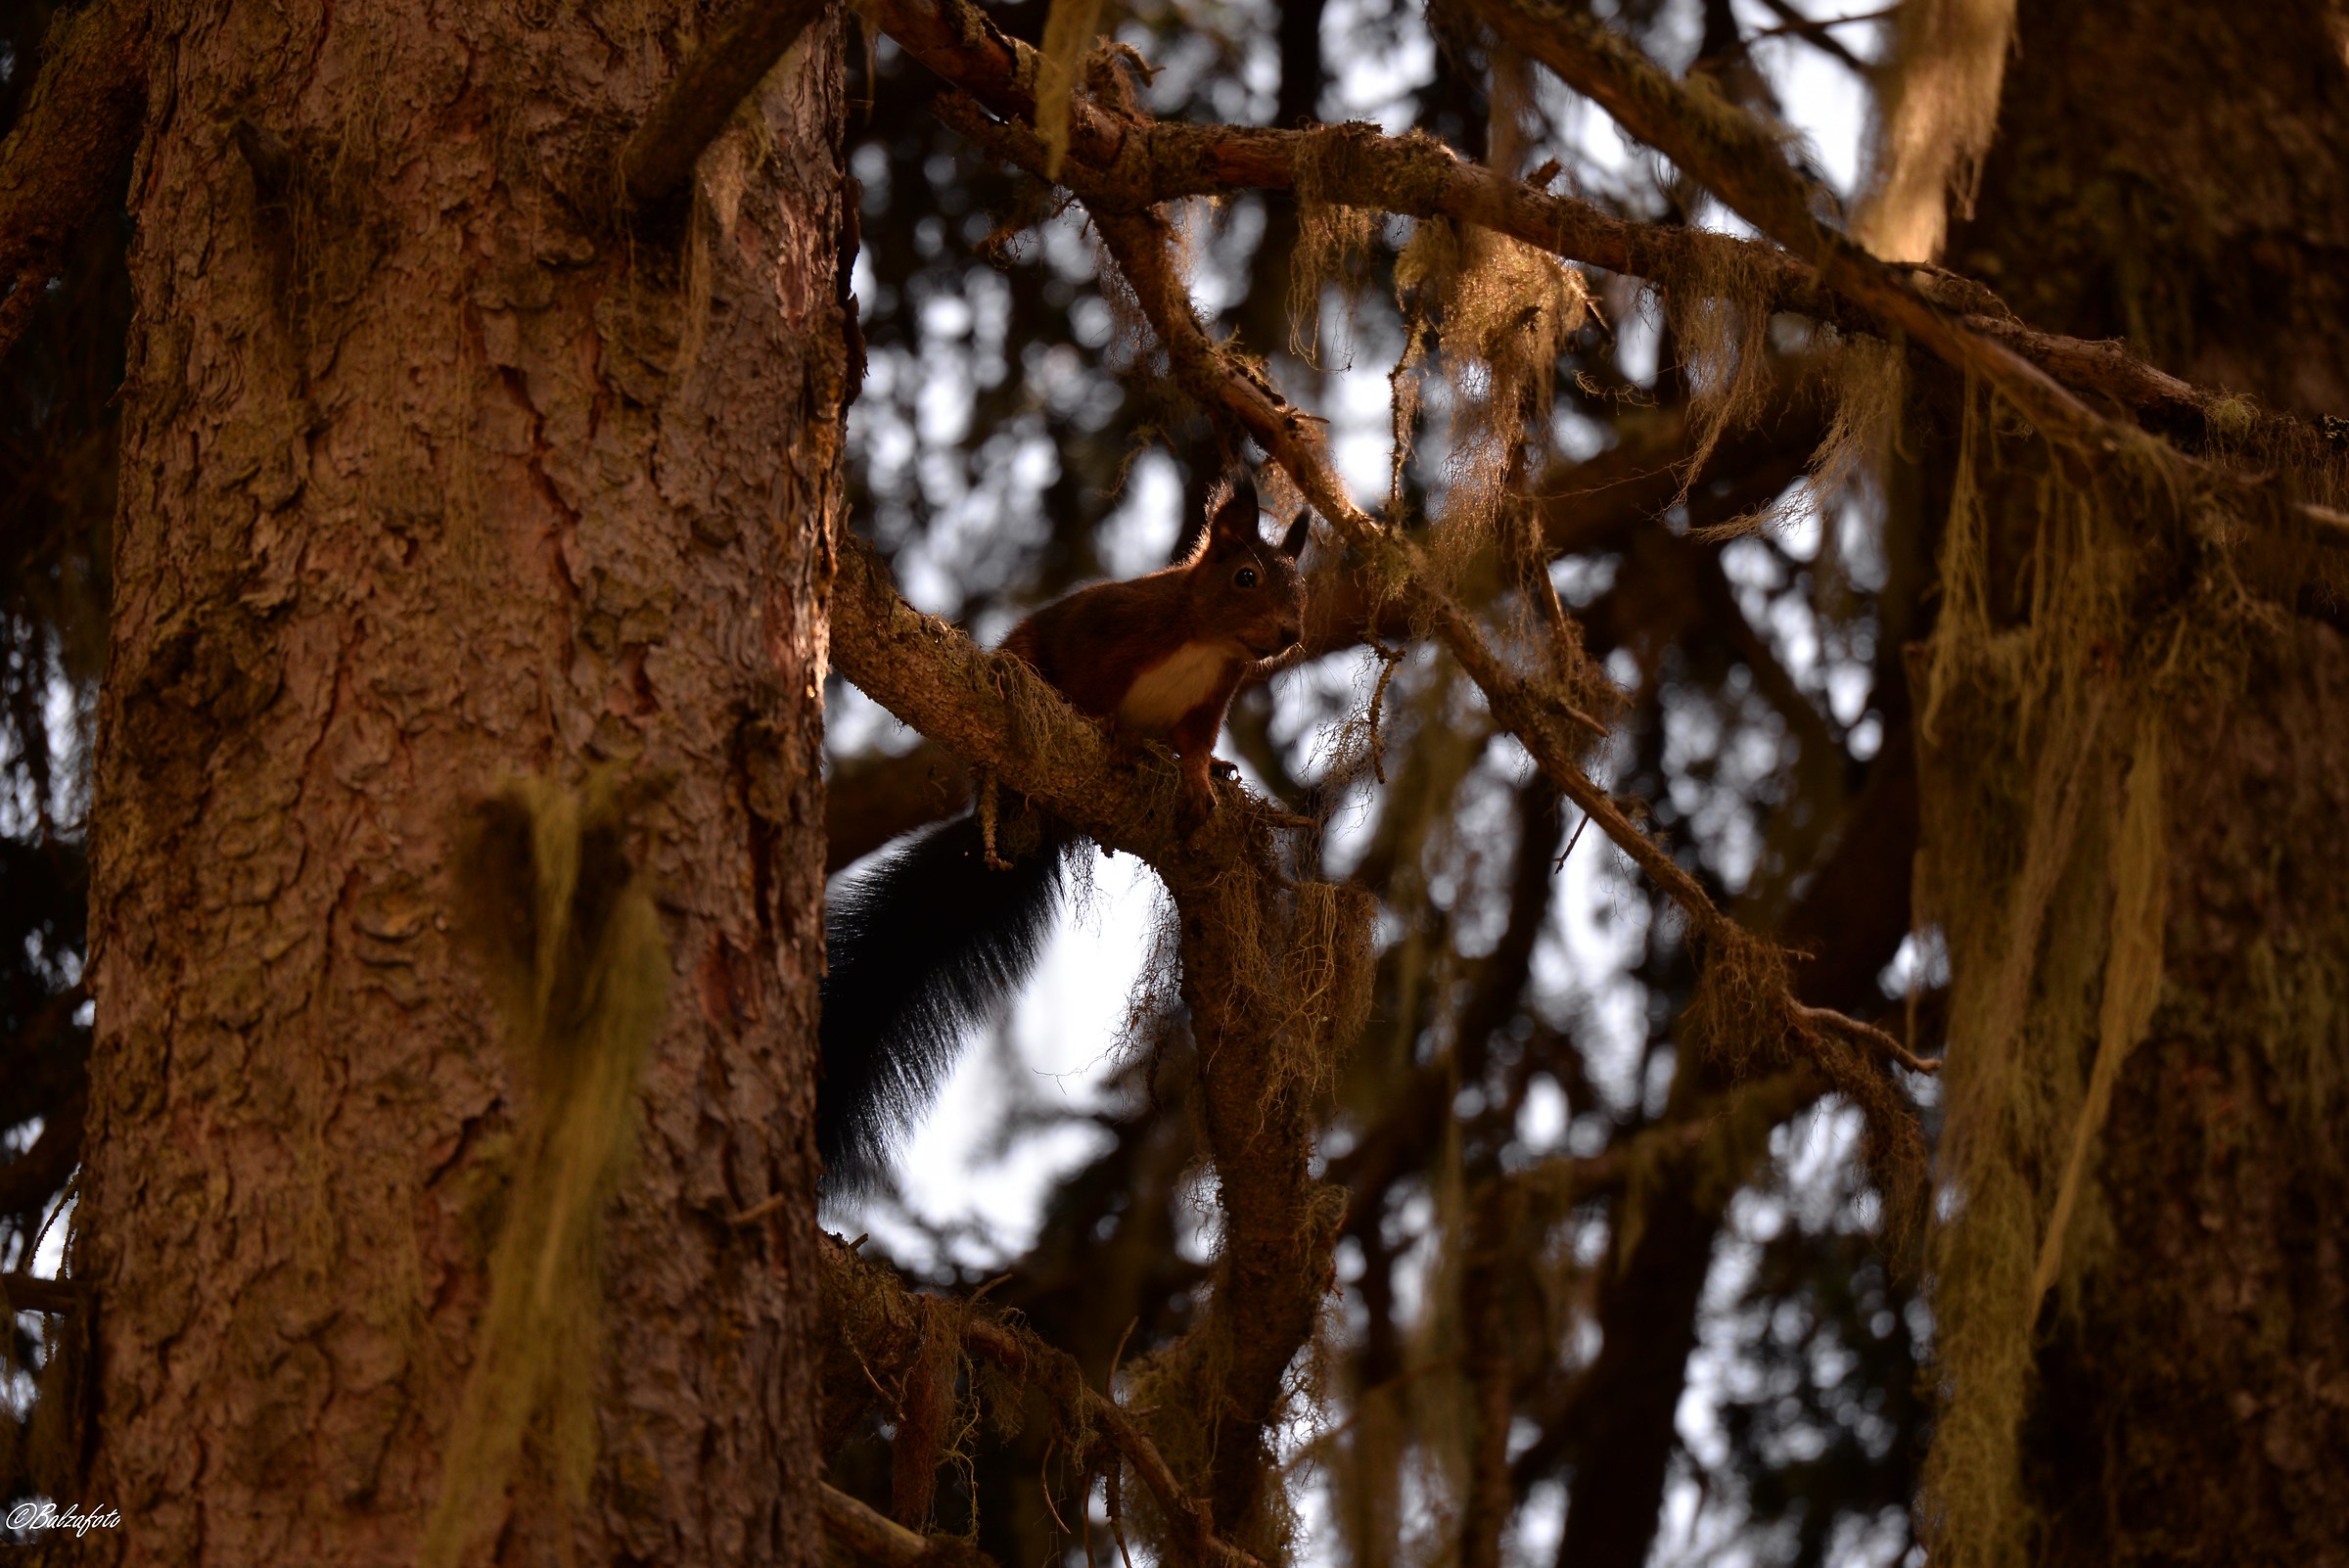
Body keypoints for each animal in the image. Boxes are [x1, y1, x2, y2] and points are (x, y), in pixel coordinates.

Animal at [817, 476, 1310, 1186]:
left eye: (1302, 588)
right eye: (1246, 577)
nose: (1291, 632)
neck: (1205, 641)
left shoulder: (1210, 701)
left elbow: (1192, 746)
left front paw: (1199, 777)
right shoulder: (1104, 631)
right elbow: (1092, 695)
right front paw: (1119, 735)